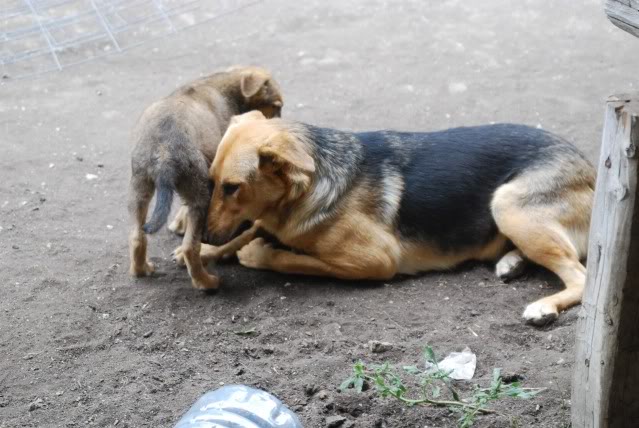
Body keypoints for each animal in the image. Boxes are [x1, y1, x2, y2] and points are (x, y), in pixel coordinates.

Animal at [127, 67, 282, 290]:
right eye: (277, 107)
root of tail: (164, 152)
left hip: (140, 188)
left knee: (137, 236)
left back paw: (141, 269)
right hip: (199, 195)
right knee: (190, 248)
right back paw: (207, 283)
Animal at [199, 110, 596, 324]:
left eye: (232, 188)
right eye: (212, 181)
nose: (202, 235)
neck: (309, 186)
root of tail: (591, 168)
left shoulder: (374, 260)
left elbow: (293, 260)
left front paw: (257, 254)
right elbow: (252, 229)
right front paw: (207, 253)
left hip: (507, 203)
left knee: (580, 274)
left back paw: (544, 306)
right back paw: (511, 262)